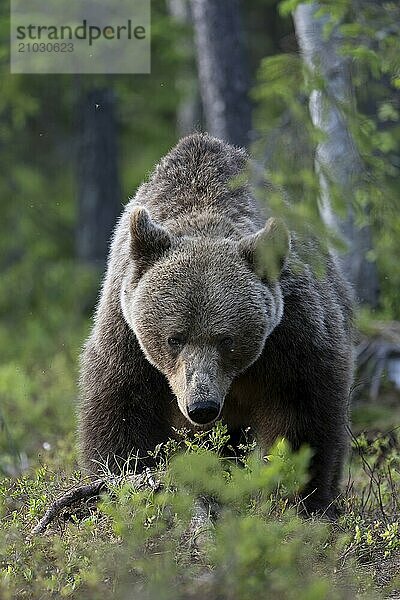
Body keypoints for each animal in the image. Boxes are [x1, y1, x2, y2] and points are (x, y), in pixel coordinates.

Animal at [78, 131, 354, 516]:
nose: (202, 406)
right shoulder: (127, 335)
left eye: (227, 339)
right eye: (174, 338)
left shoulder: (291, 334)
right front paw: (123, 482)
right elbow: (120, 411)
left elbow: (301, 415)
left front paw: (298, 500)